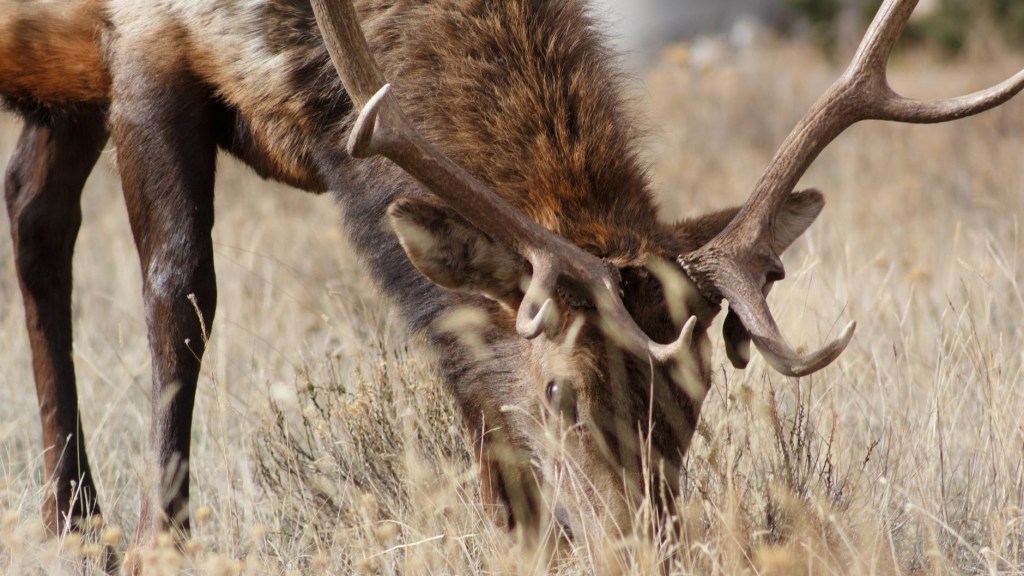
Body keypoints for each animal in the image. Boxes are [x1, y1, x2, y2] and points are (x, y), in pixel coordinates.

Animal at [2, 0, 1022, 555]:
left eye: (692, 398)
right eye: (563, 395)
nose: (648, 548)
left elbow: (462, 359)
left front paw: (516, 535)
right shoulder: (145, 48)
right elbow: (180, 293)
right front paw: (159, 542)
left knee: (32, 211)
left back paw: (68, 520)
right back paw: (81, 521)